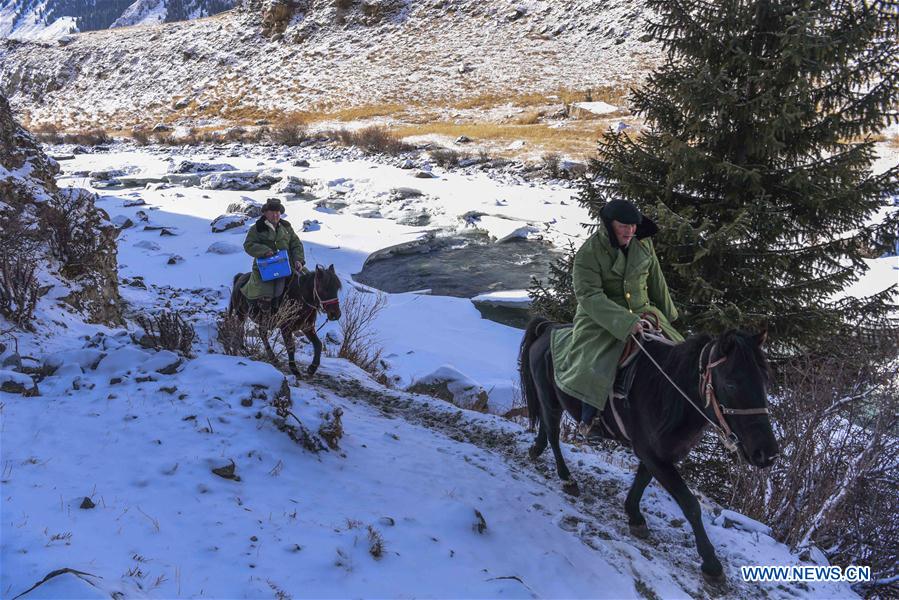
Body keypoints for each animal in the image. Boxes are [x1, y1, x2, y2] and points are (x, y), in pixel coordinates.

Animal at [520, 316, 780, 580]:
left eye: (765, 382)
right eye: (731, 384)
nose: (767, 454)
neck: (667, 393)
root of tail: (548, 329)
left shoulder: (659, 454)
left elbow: (642, 480)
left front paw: (634, 516)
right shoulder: (653, 455)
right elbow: (690, 505)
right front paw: (711, 563)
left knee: (546, 428)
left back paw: (536, 450)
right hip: (550, 399)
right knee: (553, 434)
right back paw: (567, 479)